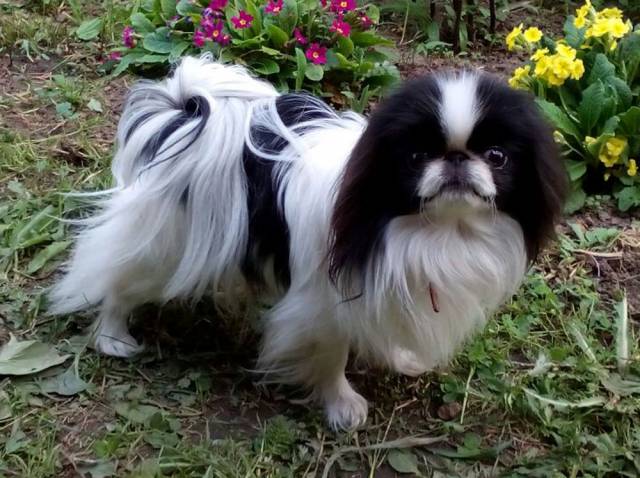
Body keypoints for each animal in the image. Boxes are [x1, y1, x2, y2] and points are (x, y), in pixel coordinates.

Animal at [50, 56, 566, 430]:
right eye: (417, 157)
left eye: (497, 157)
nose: (457, 161)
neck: (431, 229)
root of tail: (186, 114)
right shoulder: (324, 304)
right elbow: (331, 357)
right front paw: (342, 406)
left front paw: (402, 358)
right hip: (163, 247)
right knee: (116, 278)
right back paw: (113, 337)